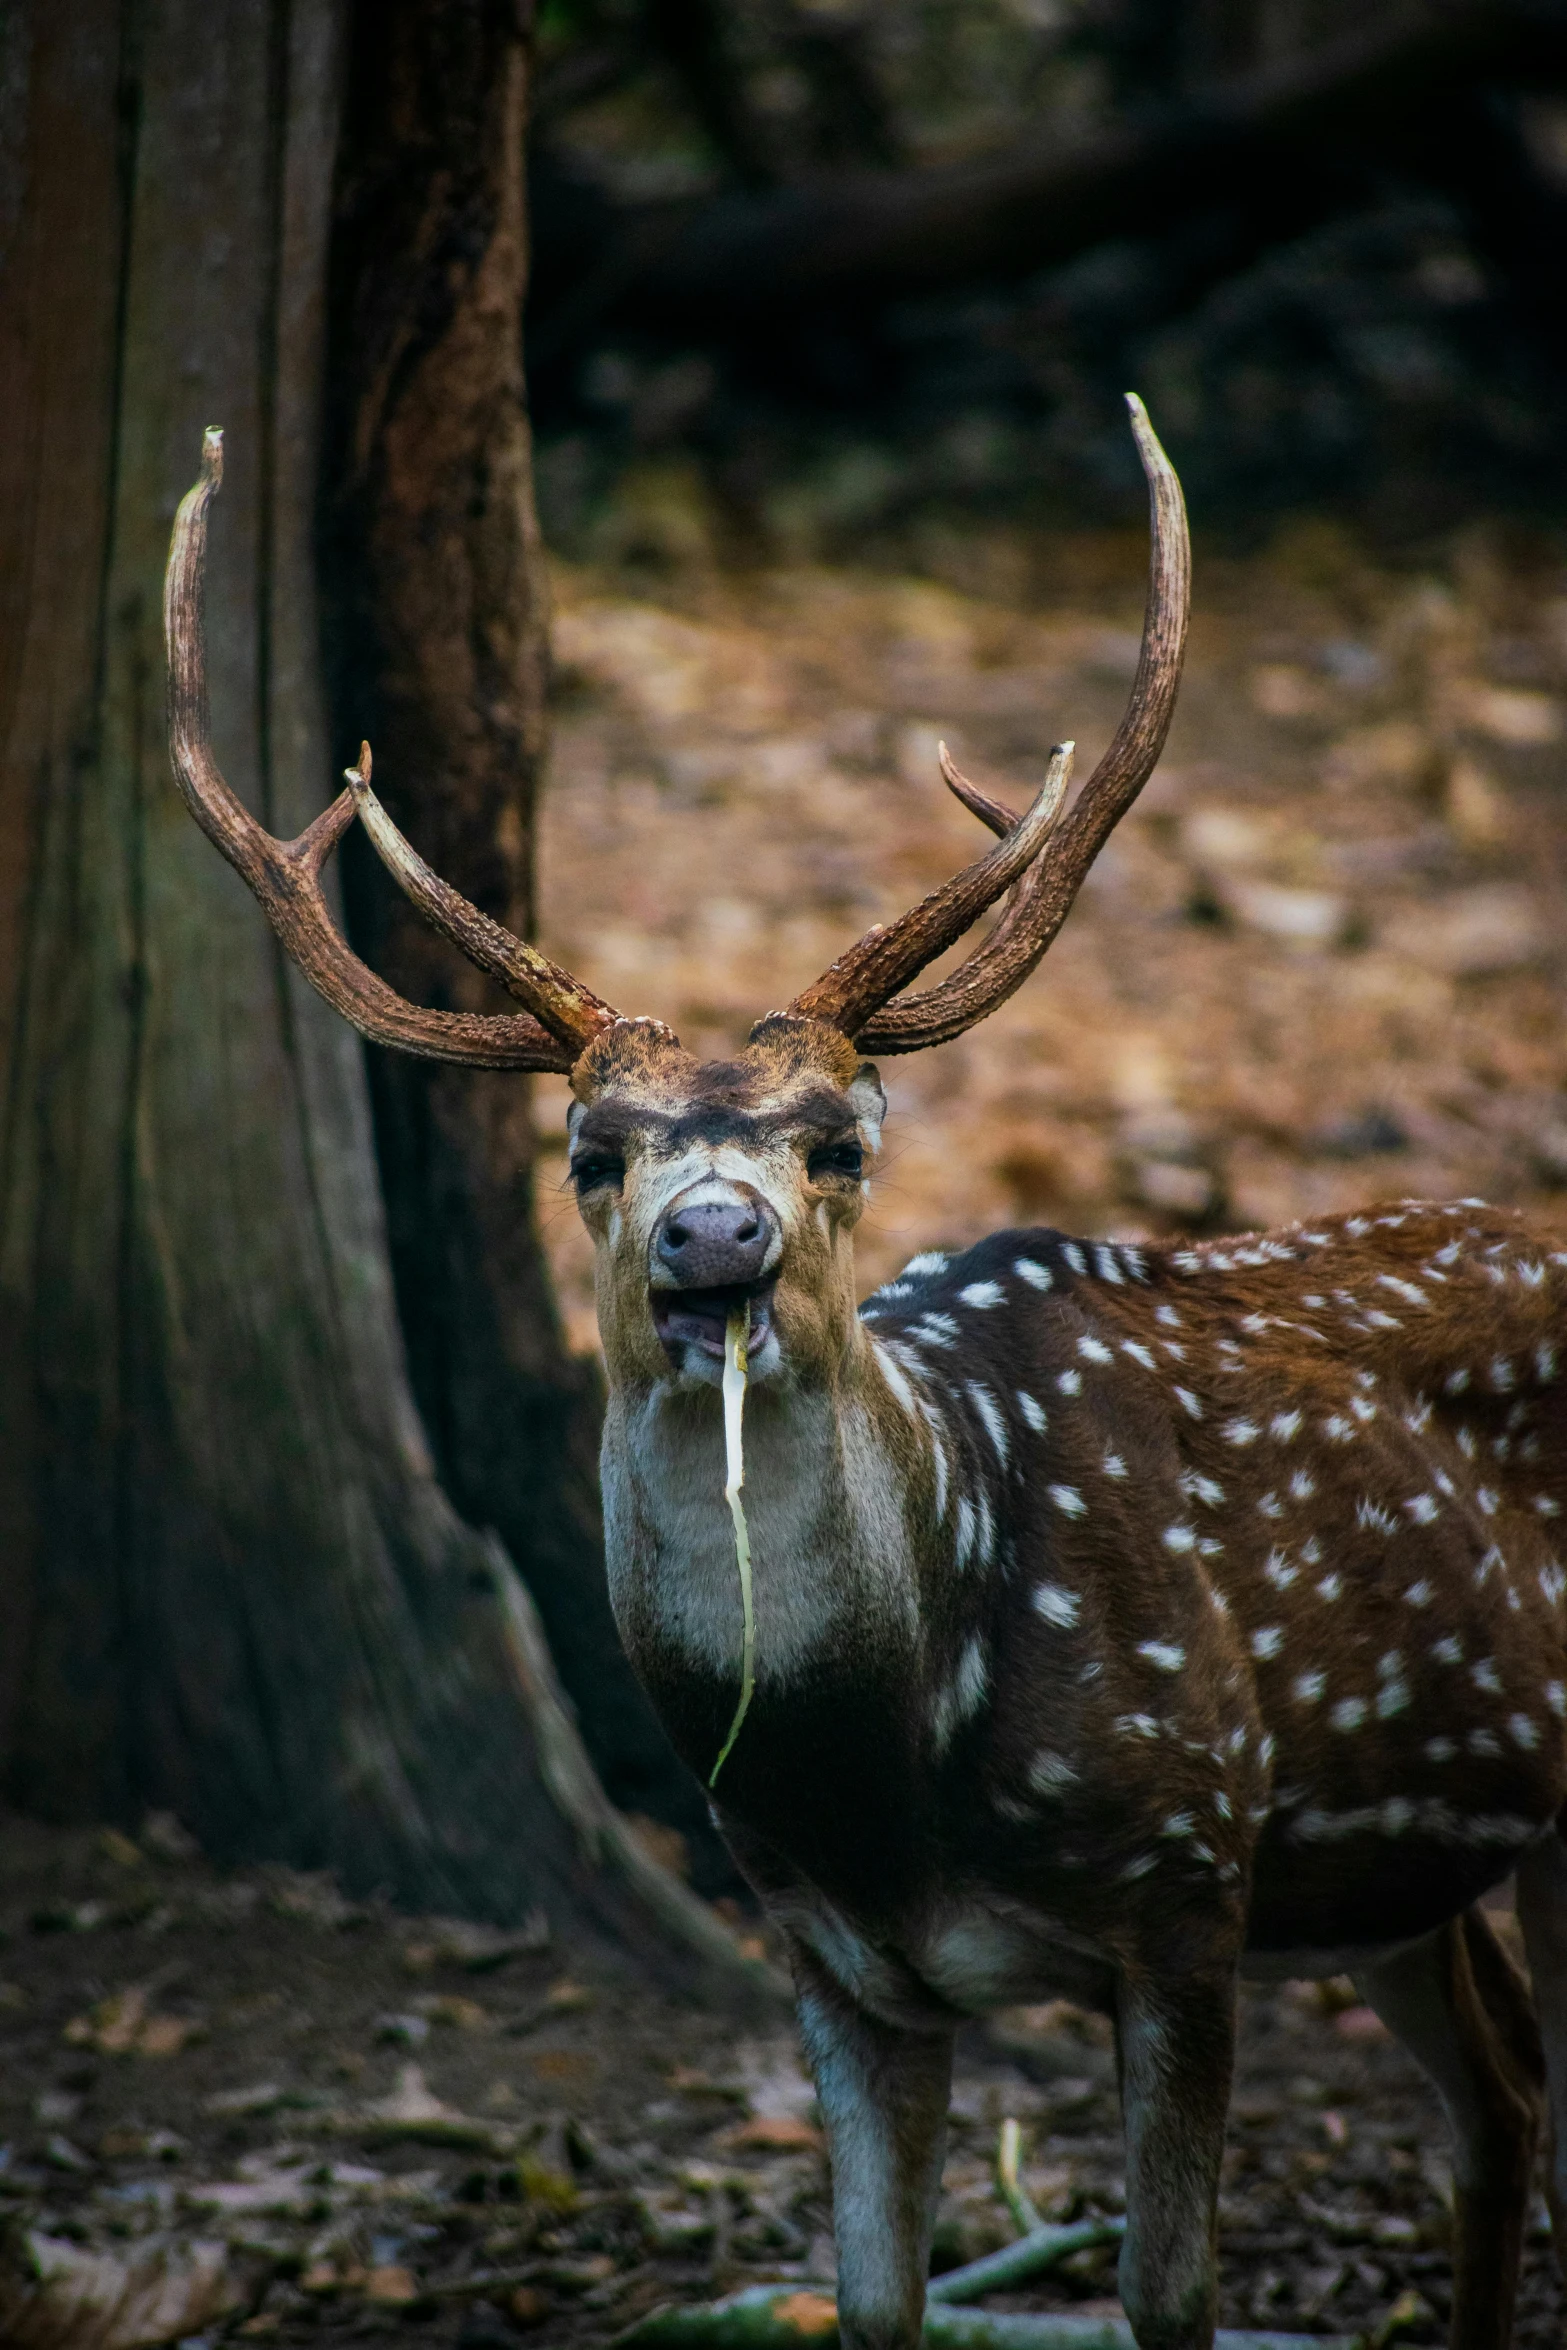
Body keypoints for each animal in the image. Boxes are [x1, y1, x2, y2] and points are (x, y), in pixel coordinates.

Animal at [169, 408, 1567, 2350]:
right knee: (1499, 2097)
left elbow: (1167, 2299)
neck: (884, 1763)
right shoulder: (831, 1960)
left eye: (836, 1139)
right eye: (593, 1153)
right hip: (1393, 1874)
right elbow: (871, 2301)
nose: (714, 1233)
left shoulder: (1188, 1876)